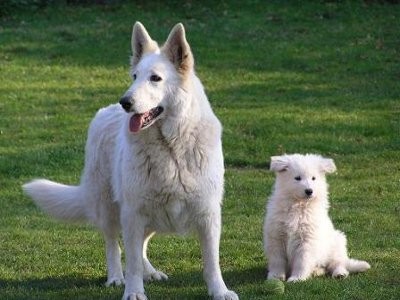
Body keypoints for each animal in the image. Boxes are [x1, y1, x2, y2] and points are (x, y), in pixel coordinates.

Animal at [23, 21, 238, 300]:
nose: (125, 102)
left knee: (141, 243)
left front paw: (219, 291)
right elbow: (132, 259)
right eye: (134, 76)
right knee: (113, 243)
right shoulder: (133, 212)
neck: (171, 148)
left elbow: (212, 261)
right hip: (111, 208)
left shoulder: (207, 213)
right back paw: (116, 277)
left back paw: (151, 272)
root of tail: (105, 110)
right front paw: (134, 291)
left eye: (155, 78)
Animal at [264, 154, 370, 282]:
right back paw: (316, 271)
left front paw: (297, 278)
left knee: (337, 264)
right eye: (297, 178)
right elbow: (277, 261)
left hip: (336, 245)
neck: (299, 205)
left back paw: (339, 274)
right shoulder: (276, 237)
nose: (309, 191)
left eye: (313, 178)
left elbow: (302, 261)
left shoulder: (307, 240)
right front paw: (275, 277)